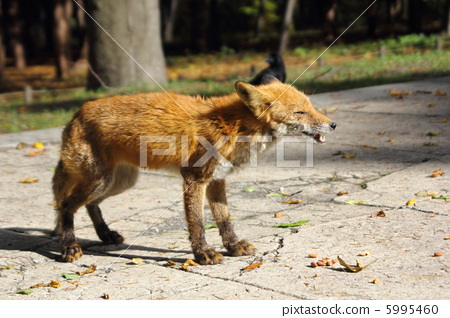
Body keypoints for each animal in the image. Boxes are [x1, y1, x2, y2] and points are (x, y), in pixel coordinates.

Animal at [51, 74, 334, 264]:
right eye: (300, 112)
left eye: (311, 107)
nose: (333, 125)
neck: (234, 127)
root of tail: (77, 112)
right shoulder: (194, 178)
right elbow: (197, 222)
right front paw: (203, 253)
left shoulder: (217, 179)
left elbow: (224, 220)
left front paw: (233, 247)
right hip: (100, 180)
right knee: (65, 204)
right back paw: (69, 245)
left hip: (119, 182)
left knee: (89, 205)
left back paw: (105, 234)